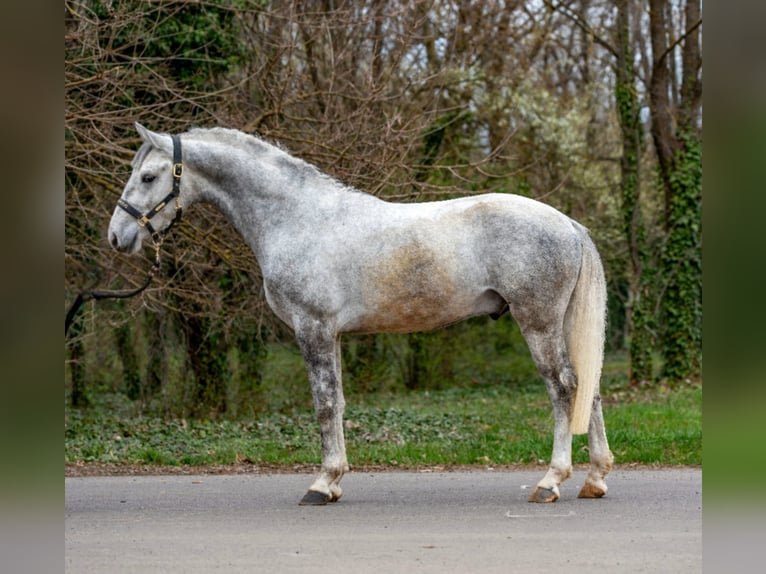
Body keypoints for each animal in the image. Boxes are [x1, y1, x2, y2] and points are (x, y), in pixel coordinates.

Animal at [108, 123, 613, 505]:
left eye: (148, 176)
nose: (117, 236)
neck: (298, 219)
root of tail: (569, 225)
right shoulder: (329, 335)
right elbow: (338, 403)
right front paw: (334, 481)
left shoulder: (312, 328)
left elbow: (325, 404)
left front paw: (321, 483)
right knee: (588, 388)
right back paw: (595, 478)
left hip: (537, 322)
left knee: (564, 388)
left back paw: (551, 481)